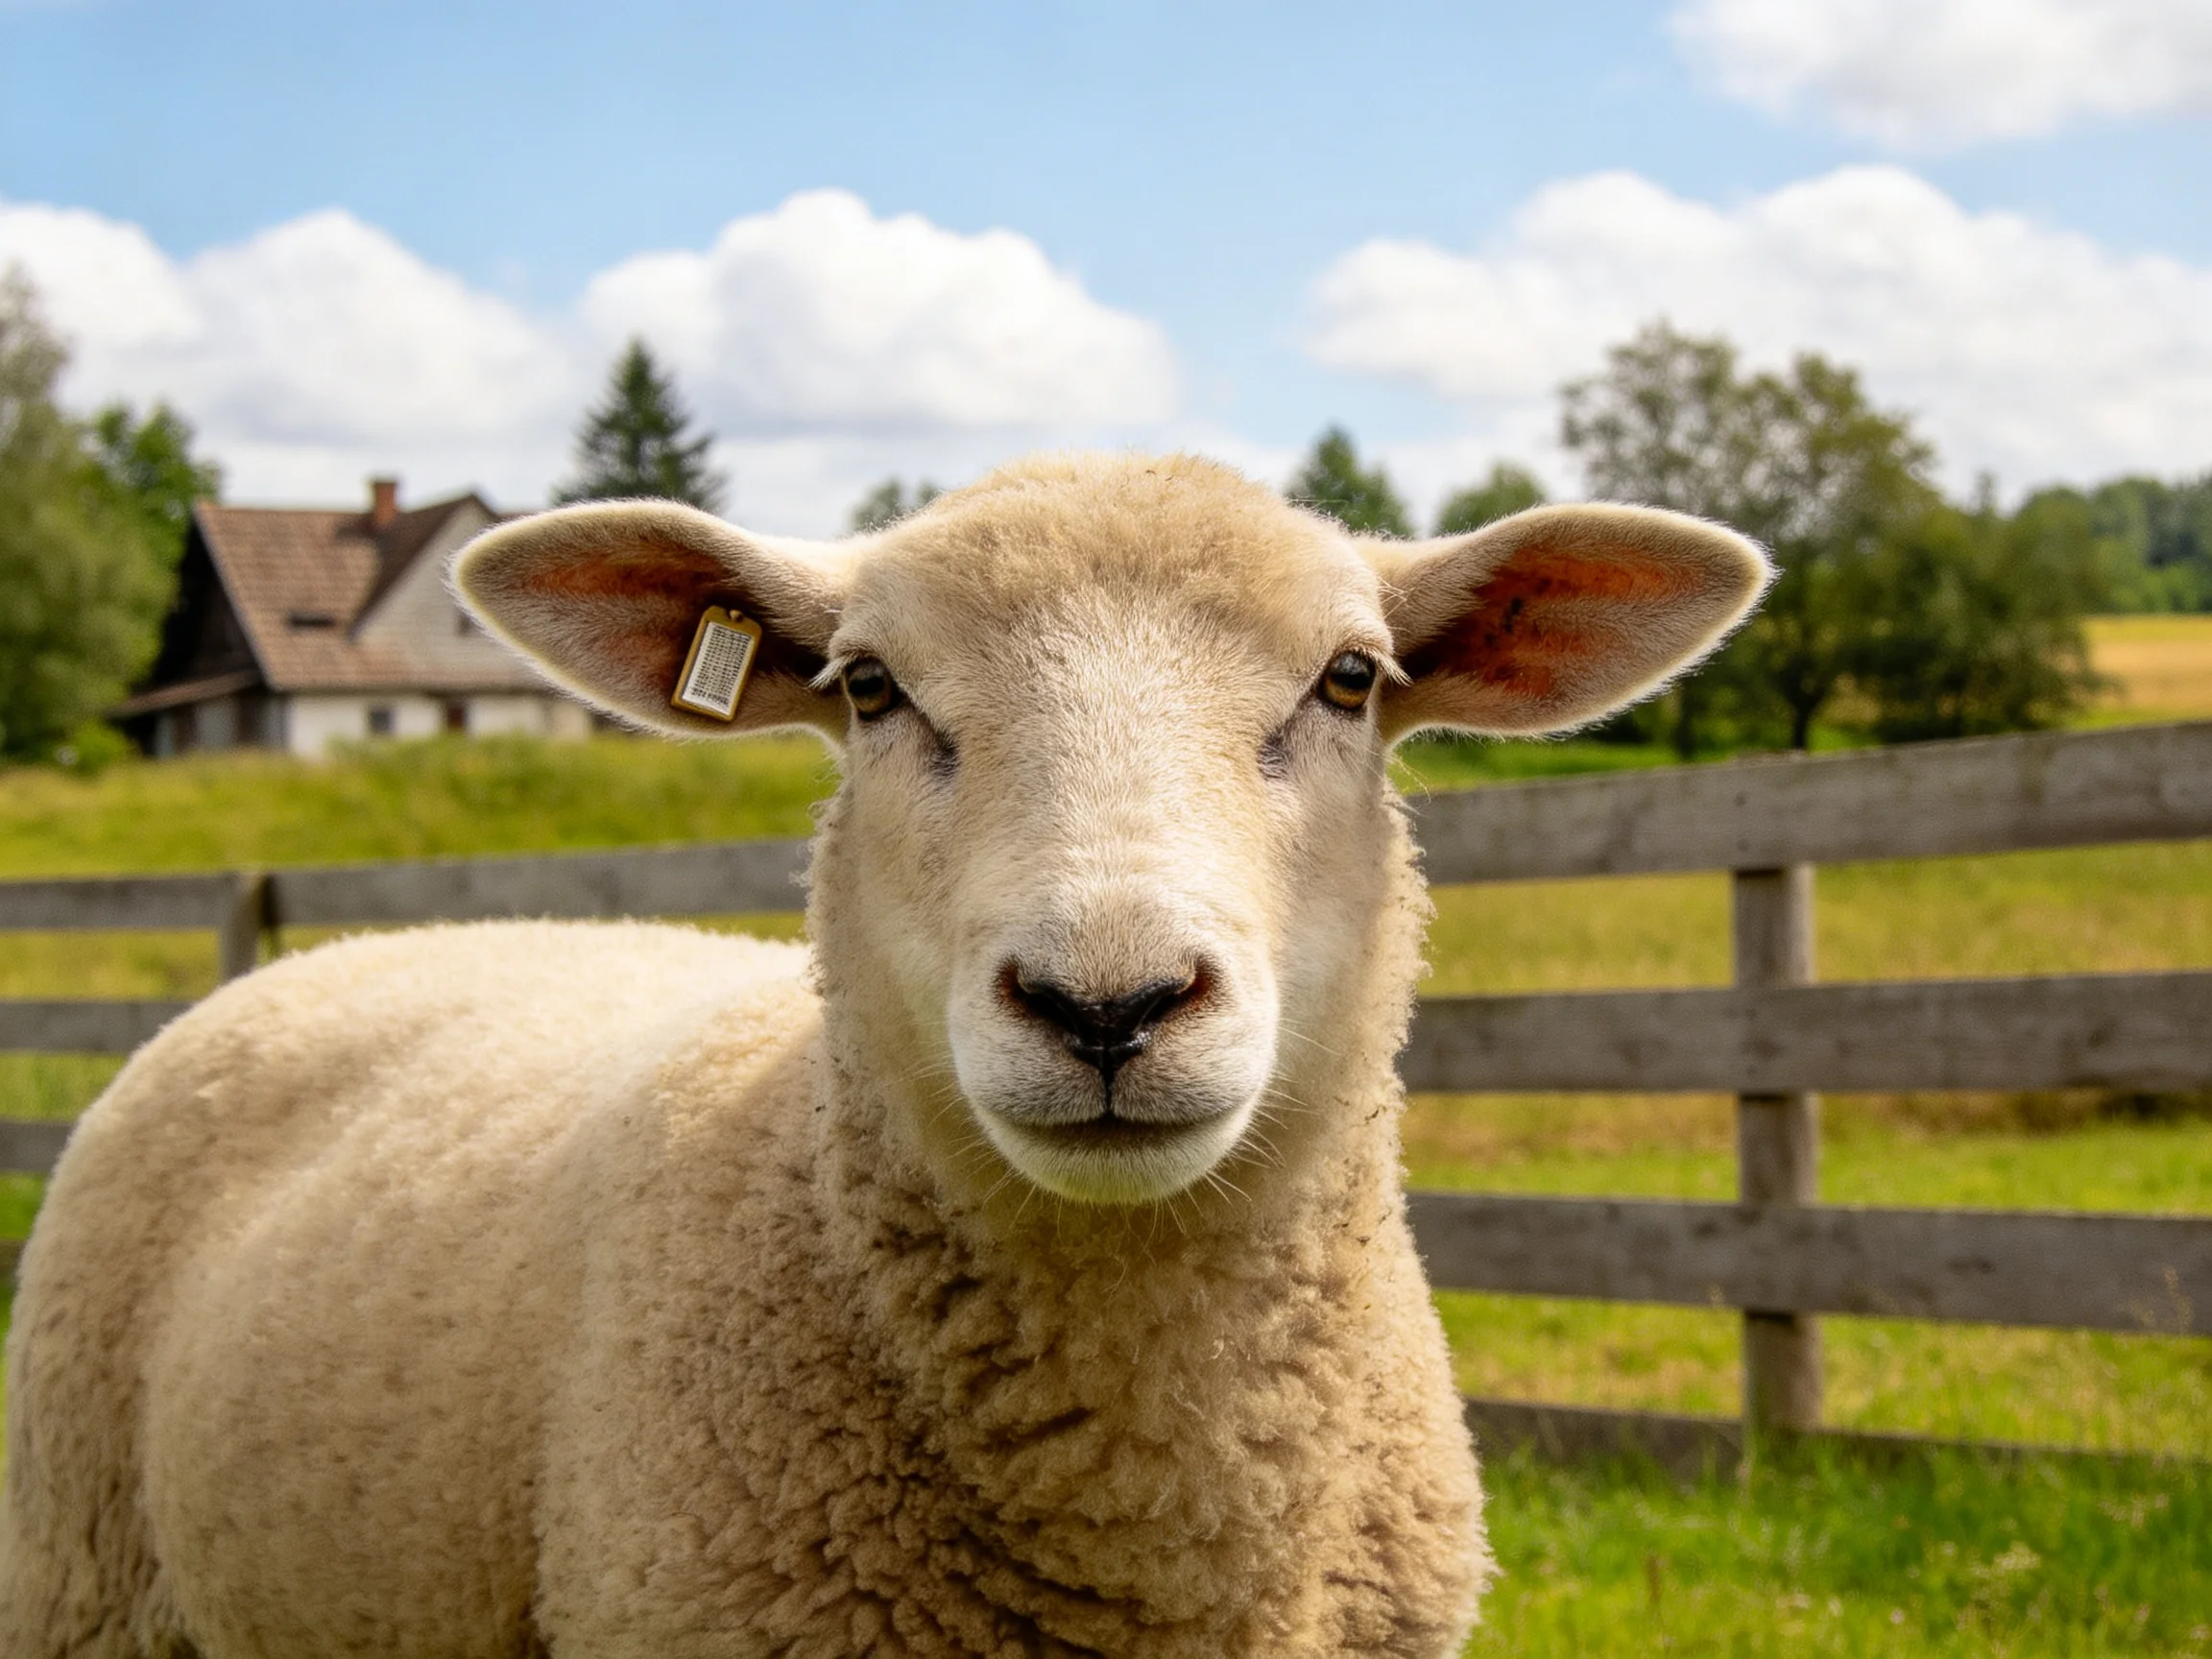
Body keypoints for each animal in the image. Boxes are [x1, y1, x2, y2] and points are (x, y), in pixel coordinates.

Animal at [0, 452, 1768, 1658]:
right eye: (866, 686)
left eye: (1349, 680)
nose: (1107, 1002)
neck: (1146, 1502)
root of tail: (327, 955)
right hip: (83, 1579)